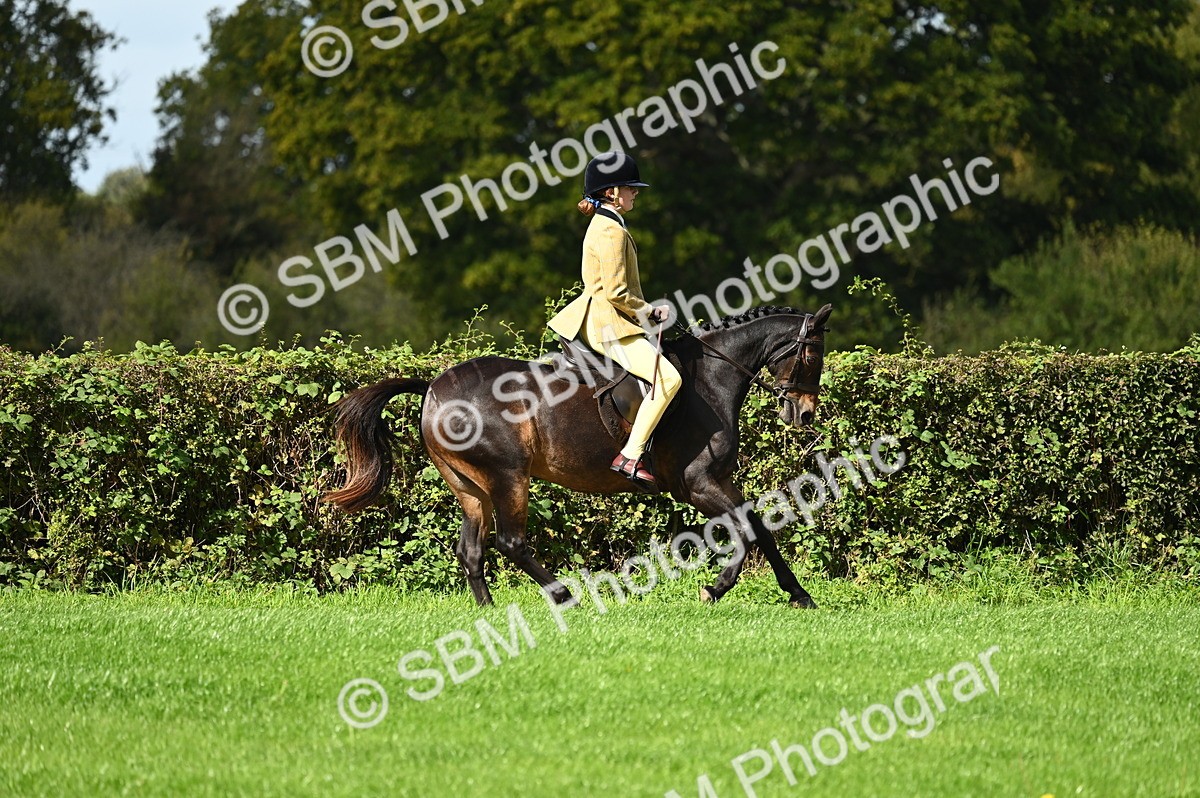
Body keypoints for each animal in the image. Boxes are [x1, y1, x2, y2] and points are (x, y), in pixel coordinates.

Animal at [323, 304, 832, 608]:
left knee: (471, 550)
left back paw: (487, 609)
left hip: (470, 487)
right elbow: (745, 533)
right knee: (510, 543)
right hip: (509, 478)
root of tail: (432, 387)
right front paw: (714, 588)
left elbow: (760, 528)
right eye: (813, 356)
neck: (710, 379)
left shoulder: (721, 481)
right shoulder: (698, 485)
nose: (805, 414)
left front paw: (799, 595)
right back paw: (565, 595)